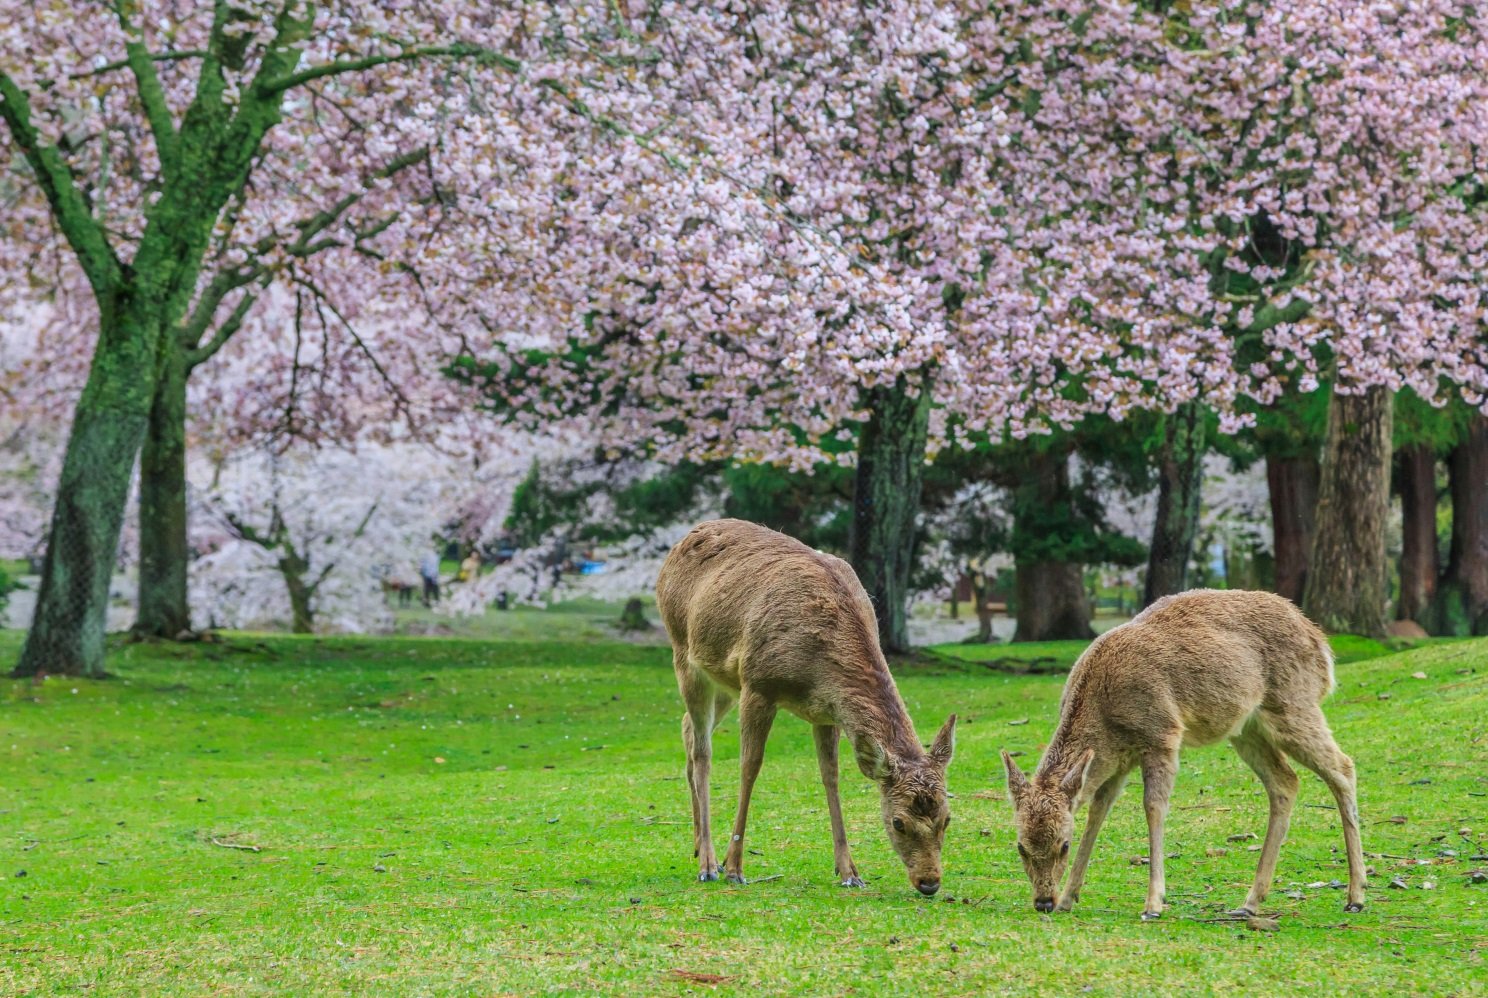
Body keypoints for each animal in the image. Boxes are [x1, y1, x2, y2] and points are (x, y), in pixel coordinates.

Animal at [656, 519, 958, 896]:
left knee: (686, 729)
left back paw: (698, 846)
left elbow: (831, 776)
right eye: (898, 822)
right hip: (684, 652)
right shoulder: (758, 685)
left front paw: (849, 871)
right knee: (702, 751)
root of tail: (683, 539)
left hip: (723, 679)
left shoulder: (825, 712)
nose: (929, 882)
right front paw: (735, 867)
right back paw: (709, 863)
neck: (817, 672)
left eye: (947, 817)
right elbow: (749, 767)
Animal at [1000, 589, 1366, 920]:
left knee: (1344, 766)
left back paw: (1356, 896)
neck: (1105, 718)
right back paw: (1249, 903)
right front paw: (1068, 898)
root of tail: (1321, 644)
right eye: (1020, 846)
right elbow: (1097, 812)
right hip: (1246, 728)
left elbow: (1153, 807)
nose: (1043, 902)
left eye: (1063, 844)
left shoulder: (1162, 735)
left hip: (1294, 704)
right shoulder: (1116, 759)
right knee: (1285, 781)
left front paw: (1153, 903)